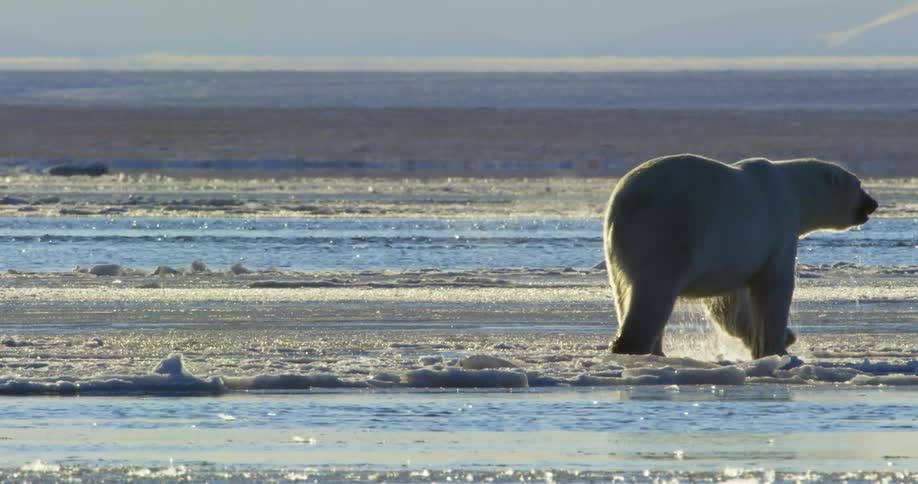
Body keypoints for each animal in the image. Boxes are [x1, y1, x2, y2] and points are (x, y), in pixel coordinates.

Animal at [603, 154, 878, 359]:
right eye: (859, 184)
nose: (873, 203)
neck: (794, 191)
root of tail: (625, 203)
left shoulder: (733, 255)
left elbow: (729, 303)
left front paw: (781, 338)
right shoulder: (779, 226)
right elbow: (775, 286)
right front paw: (776, 348)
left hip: (618, 253)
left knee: (625, 294)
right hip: (667, 232)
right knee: (653, 291)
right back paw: (634, 347)